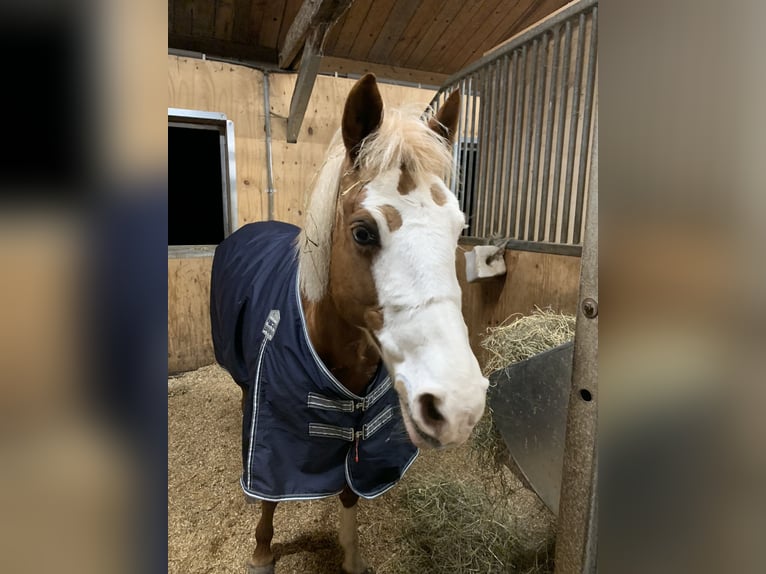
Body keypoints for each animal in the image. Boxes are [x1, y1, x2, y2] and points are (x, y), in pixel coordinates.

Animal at [208, 74, 492, 572]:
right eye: (363, 231)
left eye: (459, 228)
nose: (459, 406)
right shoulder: (278, 436)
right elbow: (270, 494)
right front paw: (262, 550)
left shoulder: (360, 441)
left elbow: (348, 493)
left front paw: (350, 556)